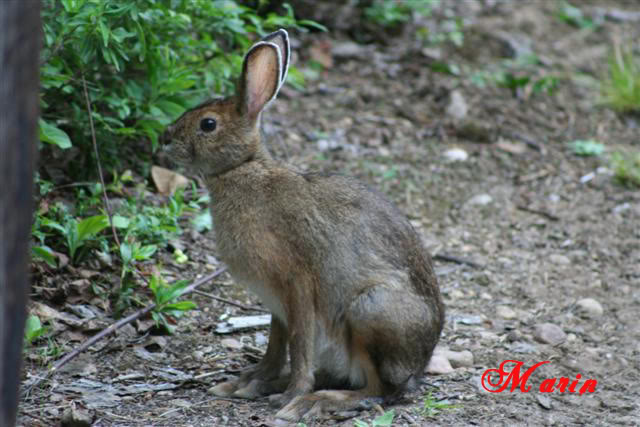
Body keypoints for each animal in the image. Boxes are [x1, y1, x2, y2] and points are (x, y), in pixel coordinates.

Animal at [161, 29, 444, 422]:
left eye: (208, 124)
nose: (164, 138)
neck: (242, 169)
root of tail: (420, 363)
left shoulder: (296, 285)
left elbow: (298, 345)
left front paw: (290, 396)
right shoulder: (275, 302)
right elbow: (275, 344)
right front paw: (248, 382)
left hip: (369, 311)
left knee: (378, 389)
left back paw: (316, 401)